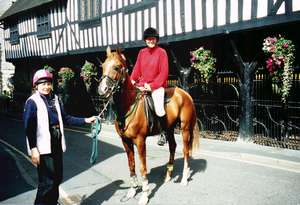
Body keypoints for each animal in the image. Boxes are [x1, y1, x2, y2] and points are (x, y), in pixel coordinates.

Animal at [98, 46, 199, 205]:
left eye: (117, 67)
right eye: (102, 66)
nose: (102, 90)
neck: (128, 105)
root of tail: (184, 94)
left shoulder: (140, 141)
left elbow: (142, 168)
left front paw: (144, 195)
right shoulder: (126, 142)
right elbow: (131, 165)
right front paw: (132, 191)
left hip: (185, 129)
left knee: (185, 151)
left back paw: (184, 178)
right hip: (169, 129)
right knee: (172, 147)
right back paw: (168, 175)